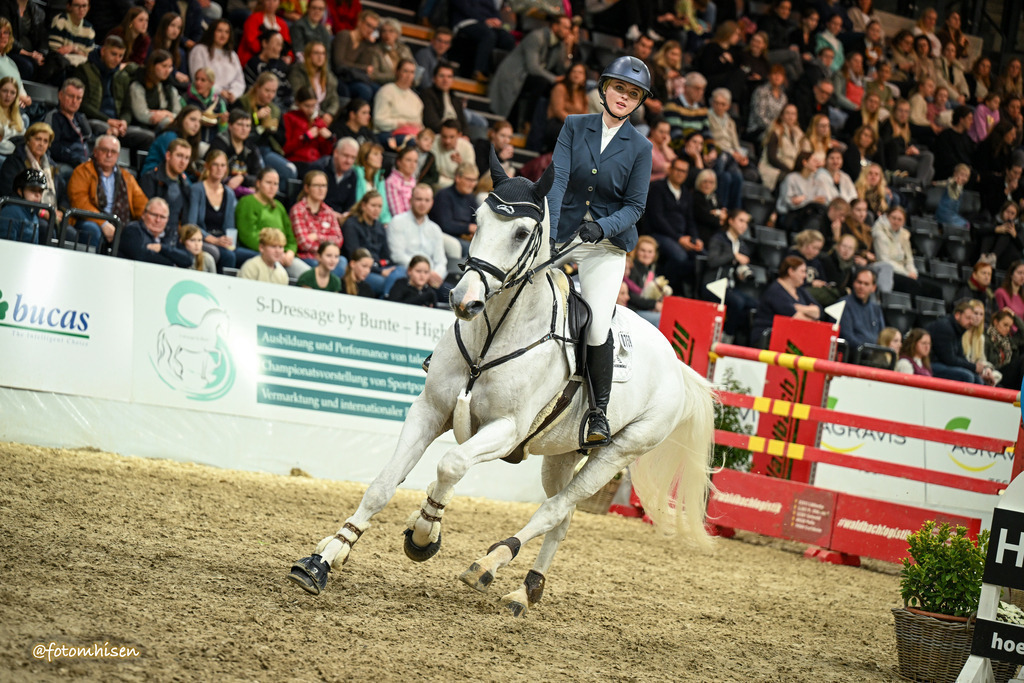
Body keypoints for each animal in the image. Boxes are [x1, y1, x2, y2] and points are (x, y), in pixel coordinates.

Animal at [288, 155, 717, 617]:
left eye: (522, 233)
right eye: (477, 219)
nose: (463, 300)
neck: (492, 334)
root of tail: (677, 364)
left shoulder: (505, 429)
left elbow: (451, 464)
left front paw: (424, 534)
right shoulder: (429, 409)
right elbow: (382, 486)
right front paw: (323, 559)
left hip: (619, 451)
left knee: (553, 509)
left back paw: (488, 564)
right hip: (562, 455)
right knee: (562, 519)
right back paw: (525, 591)